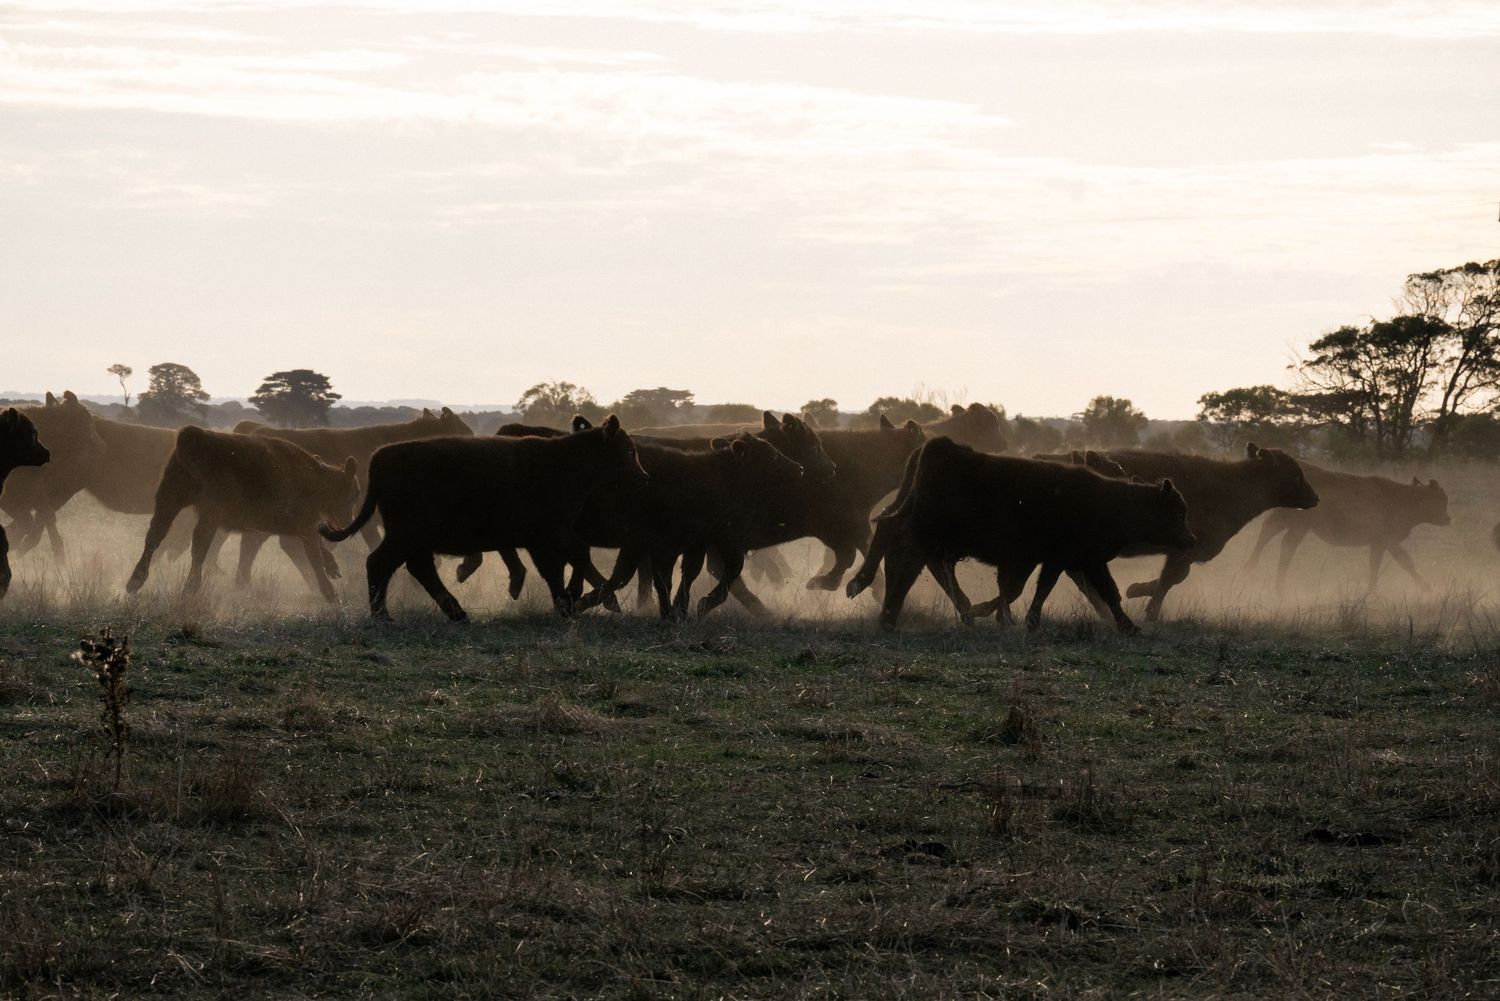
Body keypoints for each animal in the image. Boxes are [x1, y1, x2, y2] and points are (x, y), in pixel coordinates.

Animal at [126, 427, 360, 600]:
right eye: (353, 494)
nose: (347, 522)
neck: (316, 478)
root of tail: (196, 435)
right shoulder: (304, 525)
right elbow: (314, 556)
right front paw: (331, 593)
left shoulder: (299, 527)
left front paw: (333, 568)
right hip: (208, 514)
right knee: (199, 546)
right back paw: (190, 588)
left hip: (168, 501)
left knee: (155, 537)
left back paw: (135, 581)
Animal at [319, 415, 648, 622]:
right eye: (628, 449)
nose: (643, 477)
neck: (567, 463)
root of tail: (380, 458)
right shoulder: (554, 532)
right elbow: (578, 556)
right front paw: (571, 599)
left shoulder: (540, 540)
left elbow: (555, 569)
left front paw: (565, 605)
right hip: (406, 533)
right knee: (380, 563)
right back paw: (384, 616)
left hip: (413, 537)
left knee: (418, 568)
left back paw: (457, 613)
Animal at [845, 437, 1195, 632]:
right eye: (1178, 512)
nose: (1191, 540)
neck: (1107, 499)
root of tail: (936, 447)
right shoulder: (1066, 559)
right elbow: (1039, 589)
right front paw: (1018, 620)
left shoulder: (1068, 560)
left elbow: (1096, 591)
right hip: (926, 535)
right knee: (905, 563)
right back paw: (885, 610)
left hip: (931, 538)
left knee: (909, 554)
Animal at [1102, 444, 1319, 620]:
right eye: (1295, 475)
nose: (1315, 498)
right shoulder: (1187, 549)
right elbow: (1173, 576)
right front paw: (1149, 609)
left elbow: (1172, 577)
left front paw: (1136, 590)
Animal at [1244, 464, 1450, 590]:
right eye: (1440, 499)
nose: (1448, 519)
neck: (1405, 498)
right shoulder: (1386, 541)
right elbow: (1400, 562)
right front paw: (1425, 588)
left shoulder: (1382, 544)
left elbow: (1388, 563)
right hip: (1298, 525)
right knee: (1282, 543)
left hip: (1290, 521)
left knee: (1270, 533)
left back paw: (1251, 568)